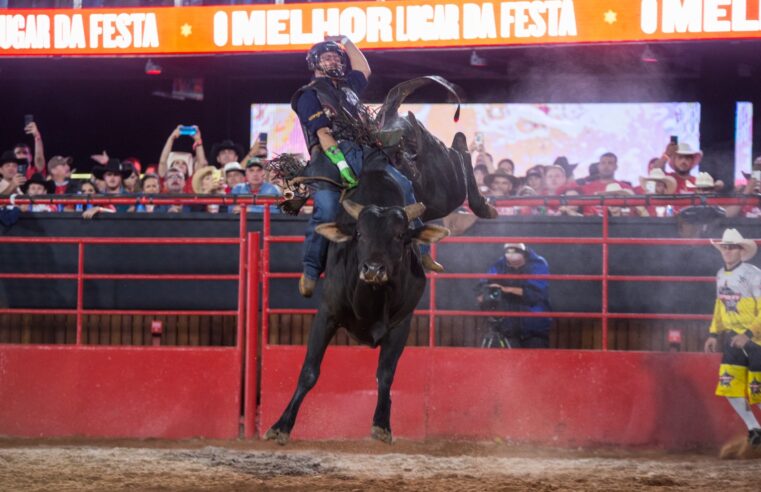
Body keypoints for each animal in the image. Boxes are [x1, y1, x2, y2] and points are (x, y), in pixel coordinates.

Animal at [268, 78, 498, 446]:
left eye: (400, 237)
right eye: (359, 234)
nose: (374, 270)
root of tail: (386, 126)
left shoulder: (401, 323)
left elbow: (386, 374)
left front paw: (382, 424)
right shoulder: (327, 314)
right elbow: (309, 372)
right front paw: (280, 425)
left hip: (443, 182)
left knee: (460, 151)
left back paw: (483, 203)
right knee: (458, 150)